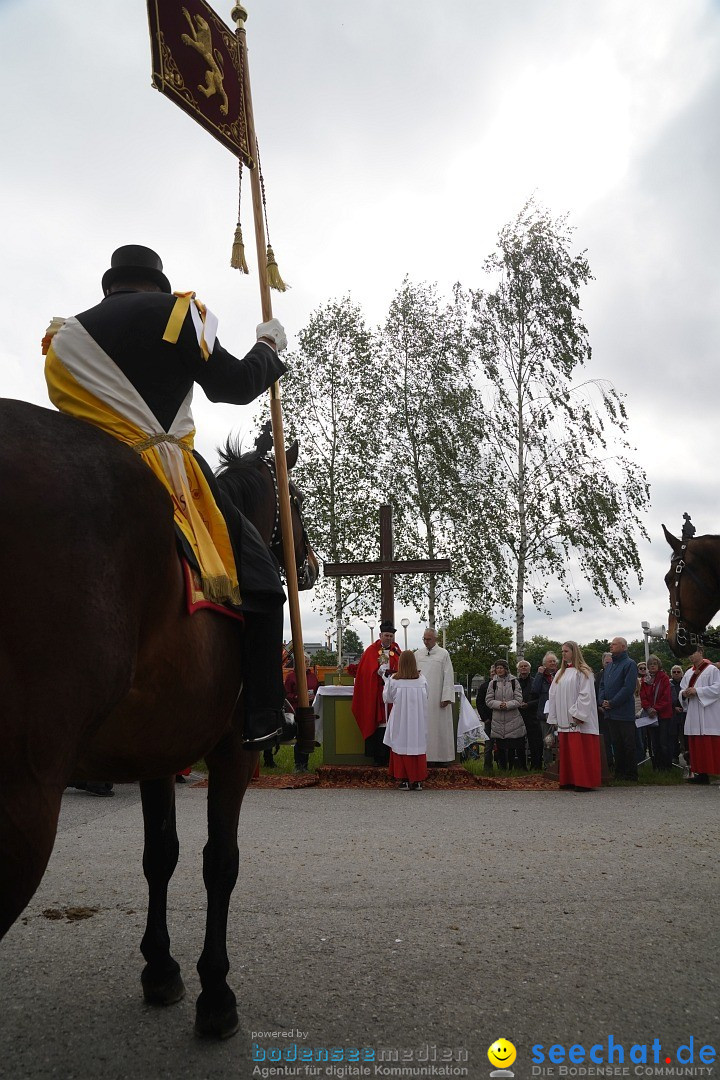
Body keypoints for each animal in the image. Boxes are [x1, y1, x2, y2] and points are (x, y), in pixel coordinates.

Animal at [0, 397, 317, 1036]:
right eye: (295, 500)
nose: (314, 564)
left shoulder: (155, 753)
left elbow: (160, 854)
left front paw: (161, 967)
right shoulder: (233, 751)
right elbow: (220, 860)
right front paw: (215, 991)